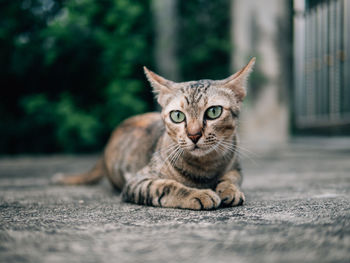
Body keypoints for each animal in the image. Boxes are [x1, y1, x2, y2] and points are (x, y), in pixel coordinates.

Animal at [54, 57, 258, 210]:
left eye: (214, 112)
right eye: (177, 116)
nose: (194, 135)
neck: (205, 168)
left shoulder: (235, 168)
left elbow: (231, 178)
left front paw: (229, 190)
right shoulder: (138, 181)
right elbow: (166, 186)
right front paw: (197, 194)